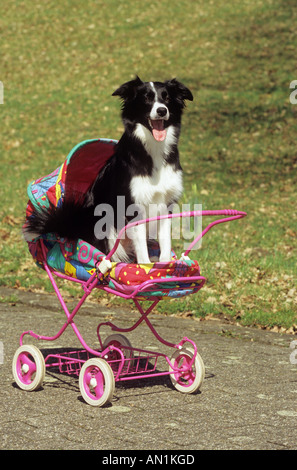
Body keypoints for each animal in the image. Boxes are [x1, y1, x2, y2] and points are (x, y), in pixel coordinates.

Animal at [26, 75, 193, 262]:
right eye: (146, 98)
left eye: (167, 98)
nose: (162, 111)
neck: (154, 149)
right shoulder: (133, 207)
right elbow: (142, 251)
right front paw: (146, 267)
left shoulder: (166, 203)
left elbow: (165, 242)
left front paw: (166, 264)